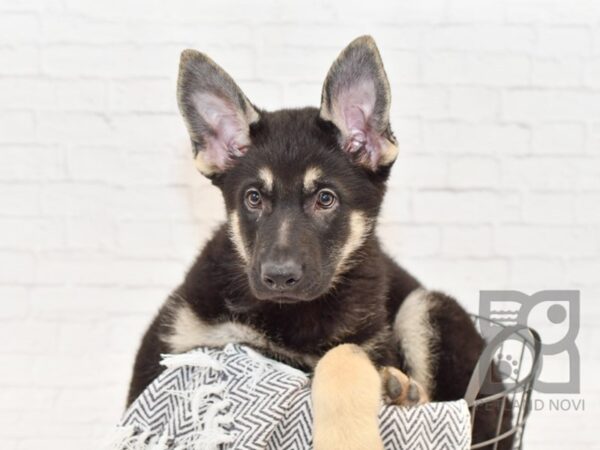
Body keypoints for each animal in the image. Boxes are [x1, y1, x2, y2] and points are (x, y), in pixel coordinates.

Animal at [129, 36, 508, 450]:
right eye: (253, 198)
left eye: (326, 199)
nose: (279, 277)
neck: (292, 314)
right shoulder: (175, 351)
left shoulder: (370, 342)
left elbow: (343, 354)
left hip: (429, 307)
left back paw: (404, 392)